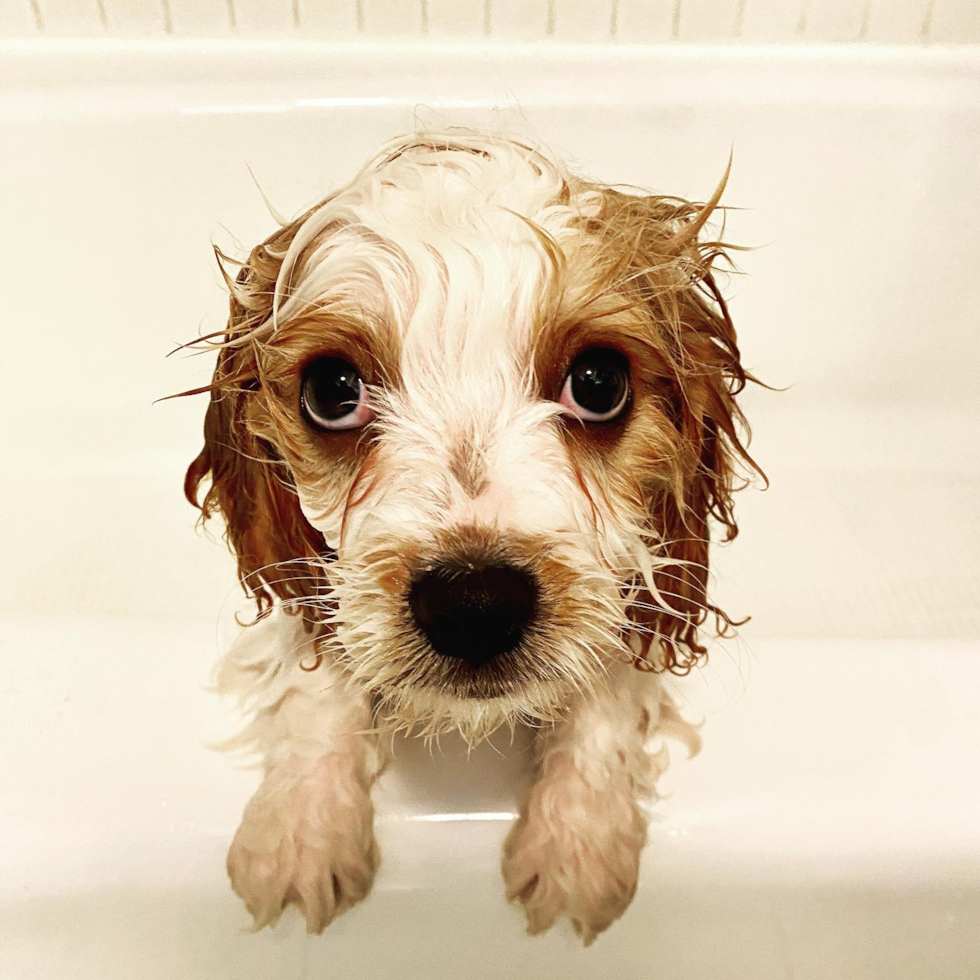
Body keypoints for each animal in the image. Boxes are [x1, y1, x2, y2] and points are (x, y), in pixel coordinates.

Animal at [186, 130, 764, 940]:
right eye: (332, 390)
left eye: (598, 382)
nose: (474, 605)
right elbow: (318, 670)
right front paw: (302, 827)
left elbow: (606, 683)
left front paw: (576, 842)